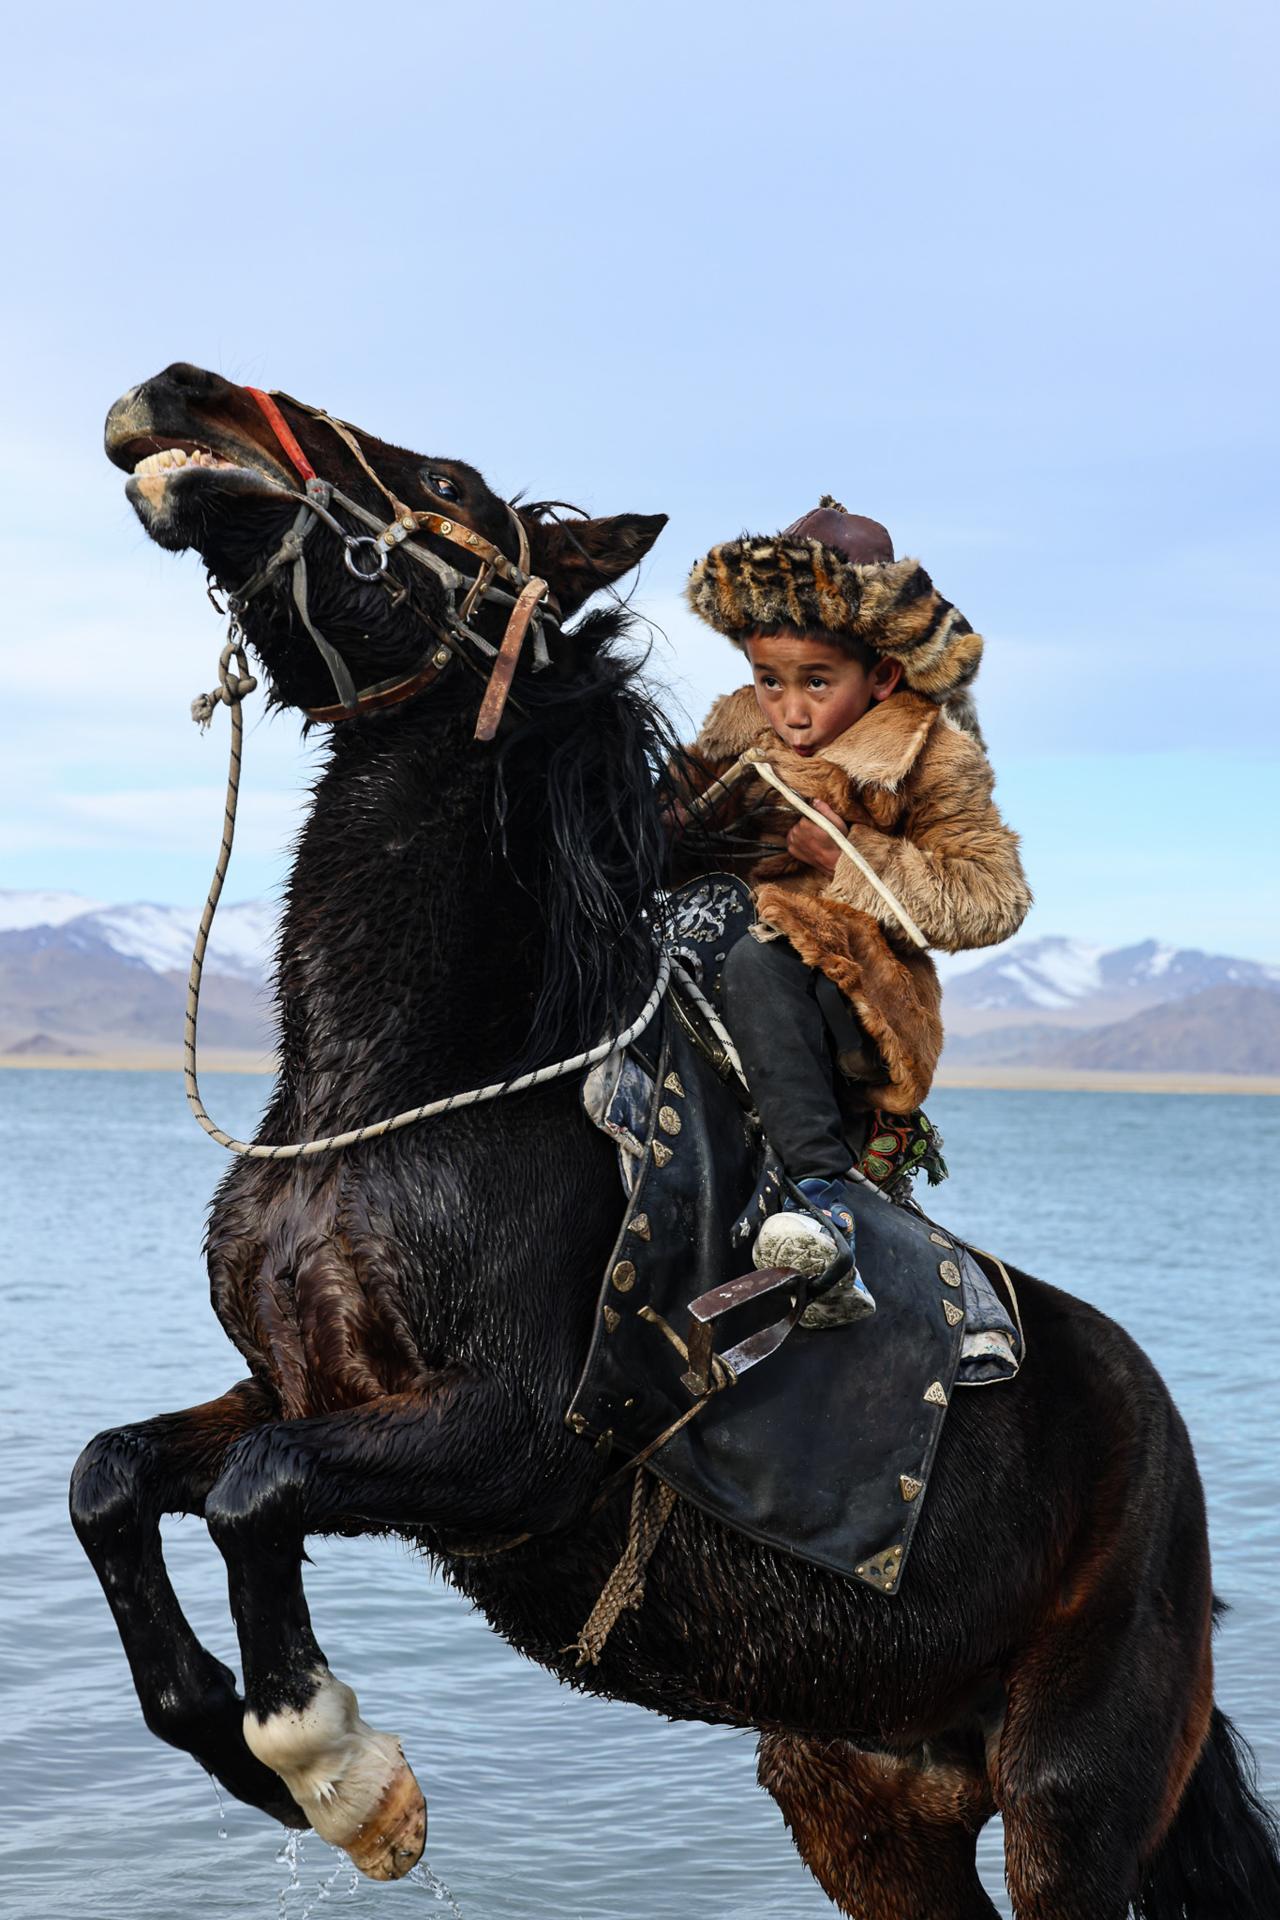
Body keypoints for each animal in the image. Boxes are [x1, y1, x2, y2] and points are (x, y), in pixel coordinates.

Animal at [72, 362, 1280, 1920]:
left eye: (447, 483)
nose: (179, 397)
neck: (407, 1085)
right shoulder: (294, 1384)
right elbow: (116, 1478)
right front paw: (247, 1750)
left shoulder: (514, 1444)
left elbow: (249, 1494)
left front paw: (343, 1775)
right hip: (862, 1803)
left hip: (1071, 1800)